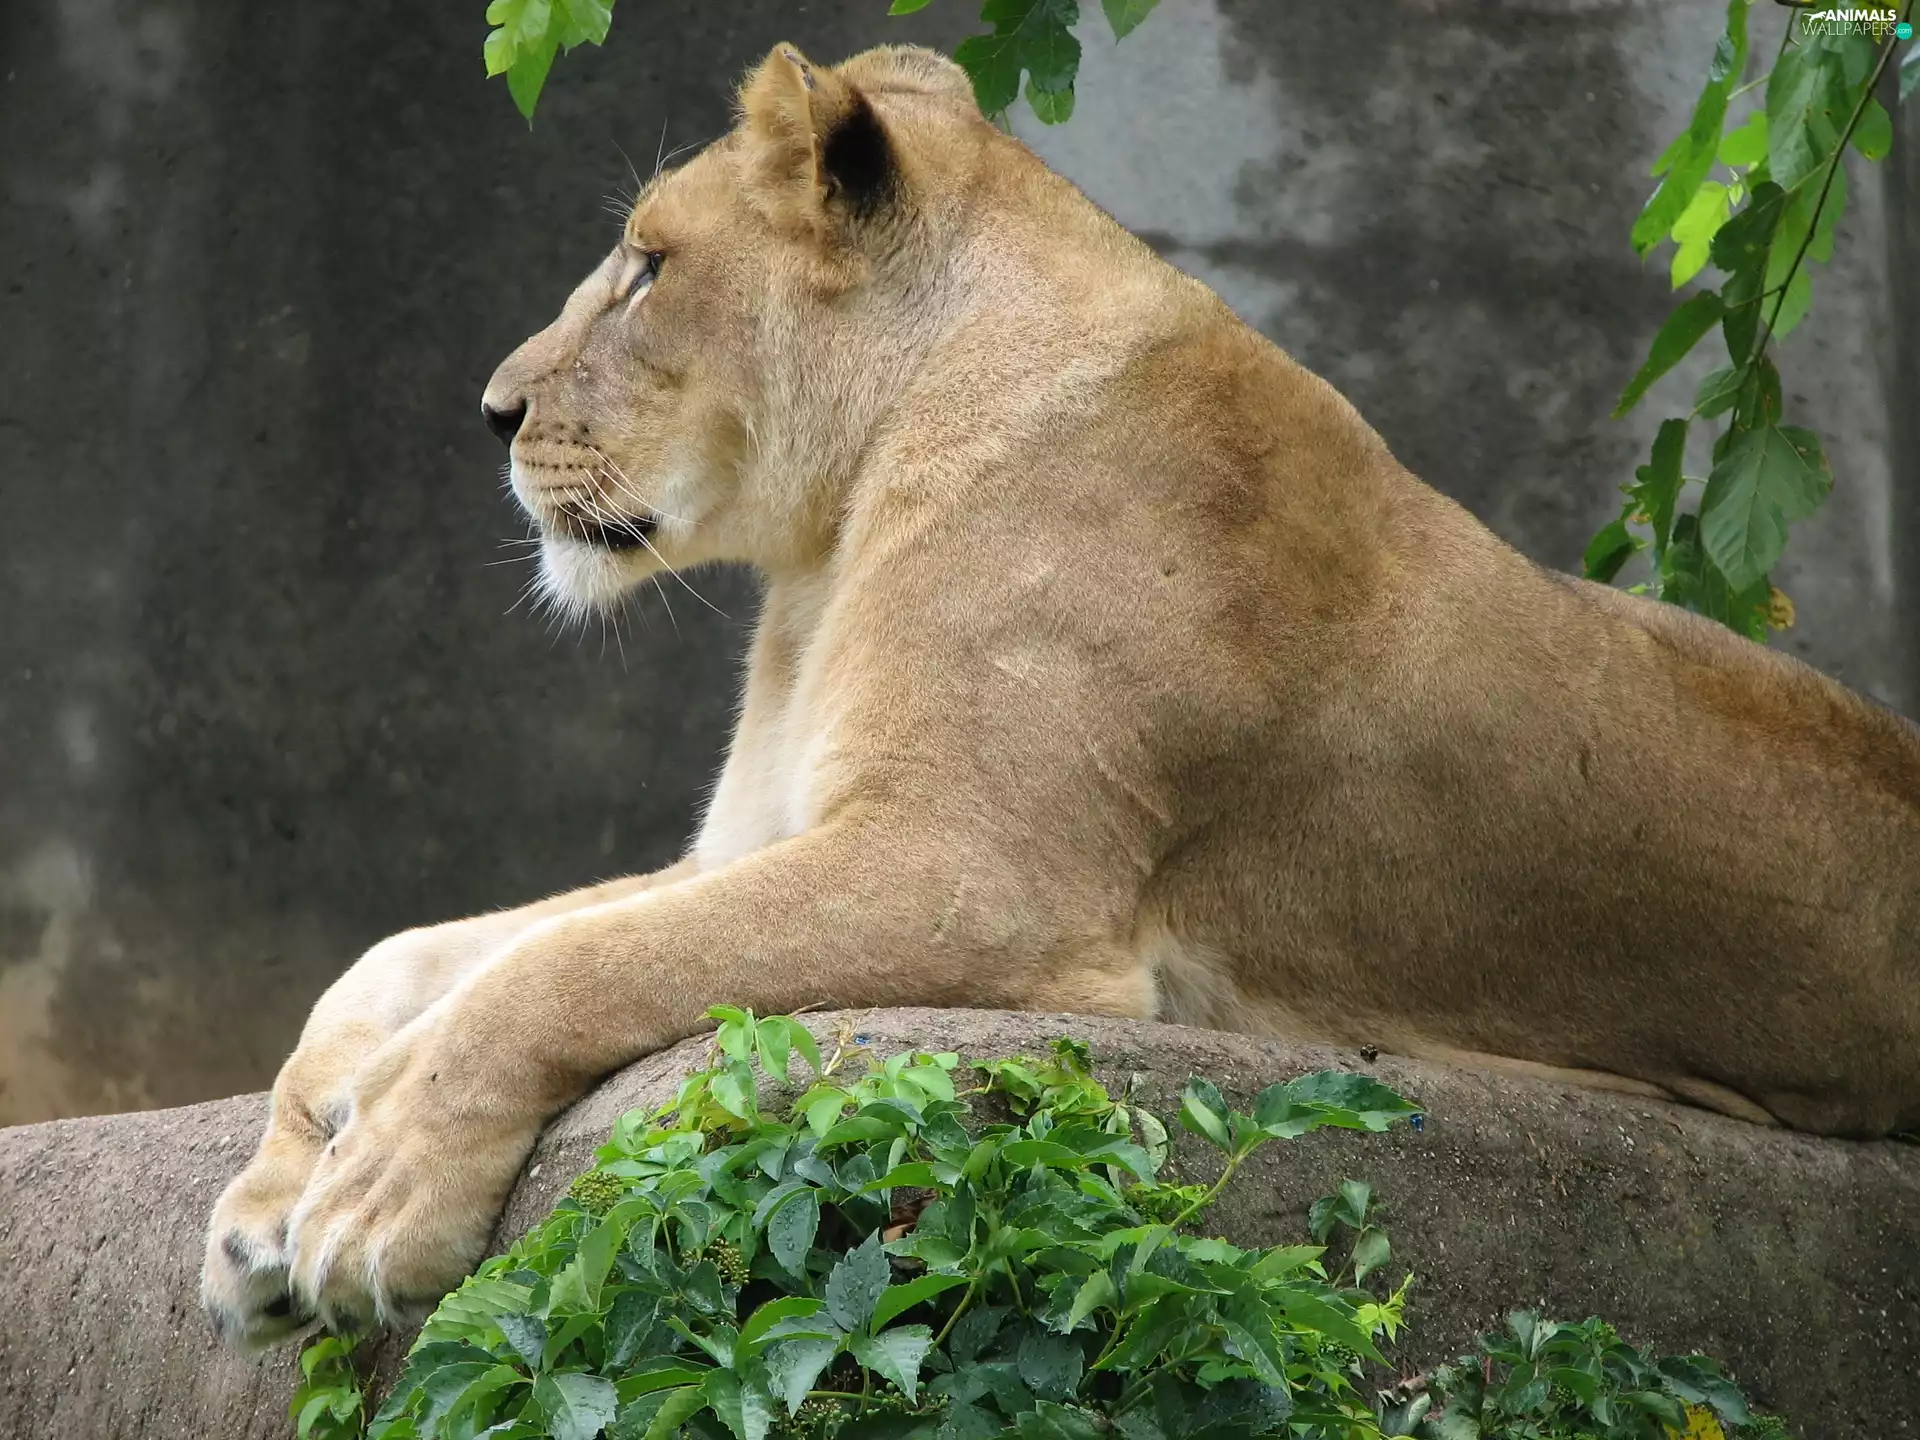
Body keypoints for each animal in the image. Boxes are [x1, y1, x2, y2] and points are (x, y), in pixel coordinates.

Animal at [201, 41, 1920, 1347]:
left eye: (646, 267)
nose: (490, 412)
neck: (830, 541)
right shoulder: (762, 836)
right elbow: (417, 955)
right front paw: (270, 1198)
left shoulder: (977, 869)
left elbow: (563, 971)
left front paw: (374, 1196)